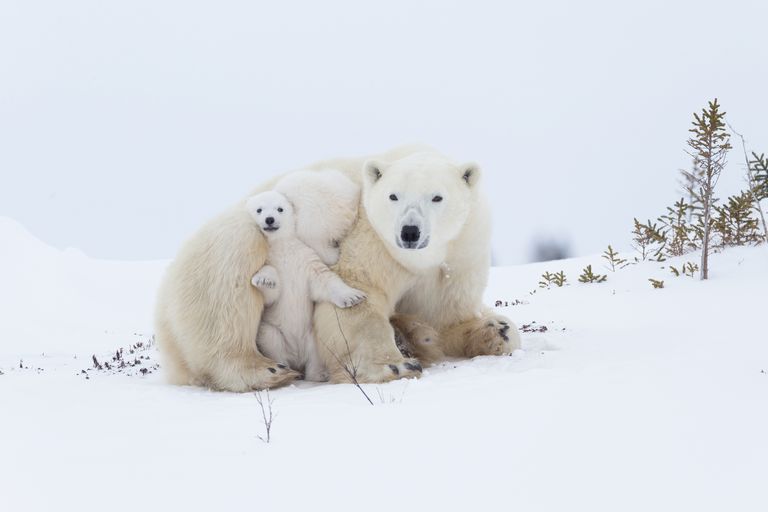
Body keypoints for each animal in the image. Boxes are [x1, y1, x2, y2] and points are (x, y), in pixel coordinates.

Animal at [246, 190, 366, 382]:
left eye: (280, 208)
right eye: (259, 209)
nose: (269, 219)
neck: (282, 247)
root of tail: (297, 356)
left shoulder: (305, 258)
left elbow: (322, 279)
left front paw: (353, 297)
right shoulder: (270, 259)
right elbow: (269, 295)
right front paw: (265, 280)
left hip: (311, 332)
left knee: (318, 347)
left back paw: (318, 374)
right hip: (273, 331)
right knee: (271, 339)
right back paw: (288, 372)